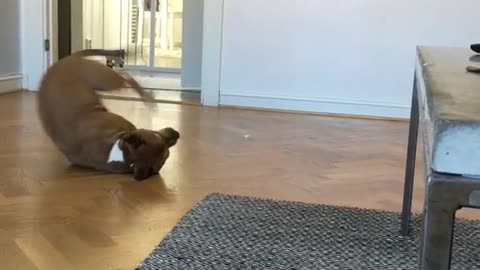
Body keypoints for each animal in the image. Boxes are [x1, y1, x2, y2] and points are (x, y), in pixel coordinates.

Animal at [37, 49, 179, 180]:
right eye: (157, 135)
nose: (176, 133)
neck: (124, 155)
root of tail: (66, 59)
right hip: (107, 80)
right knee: (126, 77)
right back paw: (147, 96)